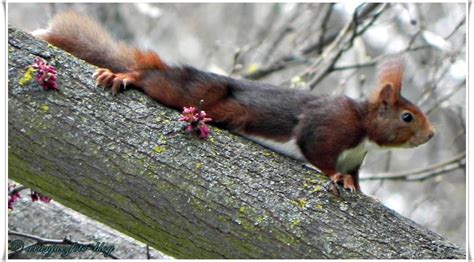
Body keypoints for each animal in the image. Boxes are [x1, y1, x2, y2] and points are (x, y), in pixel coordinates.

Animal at [33, 11, 436, 192]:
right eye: (407, 117)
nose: (431, 135)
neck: (365, 131)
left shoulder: (357, 156)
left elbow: (354, 175)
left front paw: (355, 186)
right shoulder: (329, 125)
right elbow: (317, 151)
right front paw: (335, 175)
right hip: (196, 94)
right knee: (153, 79)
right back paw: (126, 76)